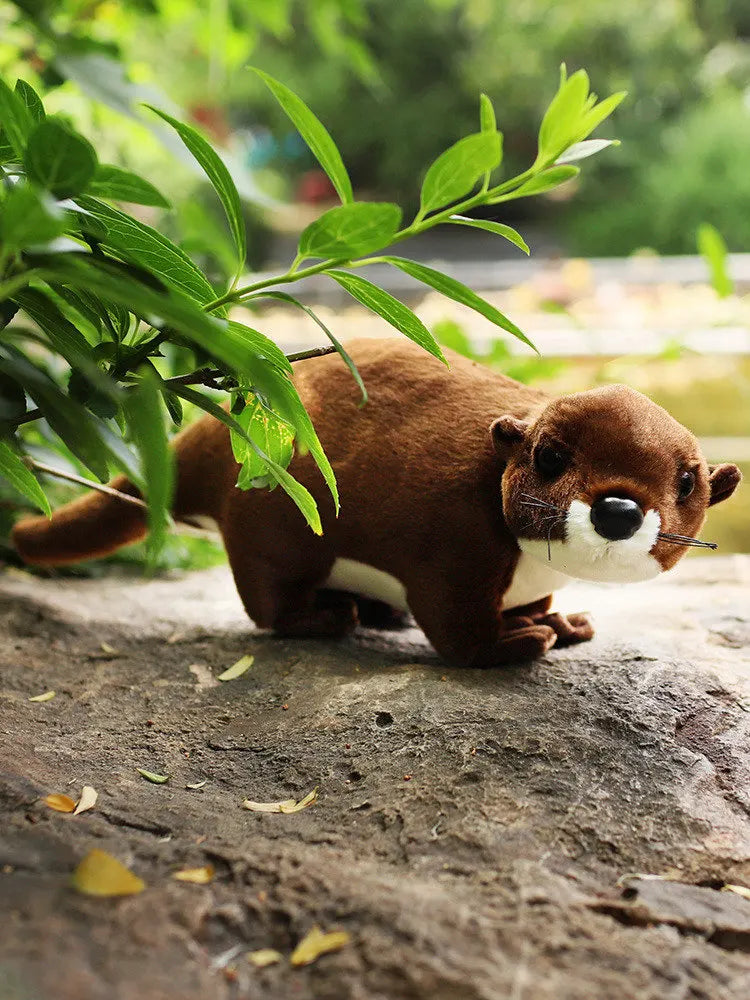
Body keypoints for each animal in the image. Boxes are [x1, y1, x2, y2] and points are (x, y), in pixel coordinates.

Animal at [11, 338, 741, 667]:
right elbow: (458, 631)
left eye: (687, 482)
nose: (619, 509)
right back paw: (331, 617)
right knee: (268, 608)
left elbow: (534, 604)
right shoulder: (456, 547)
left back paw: (380, 615)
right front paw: (518, 641)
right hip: (271, 527)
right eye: (551, 457)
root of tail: (210, 431)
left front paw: (559, 624)